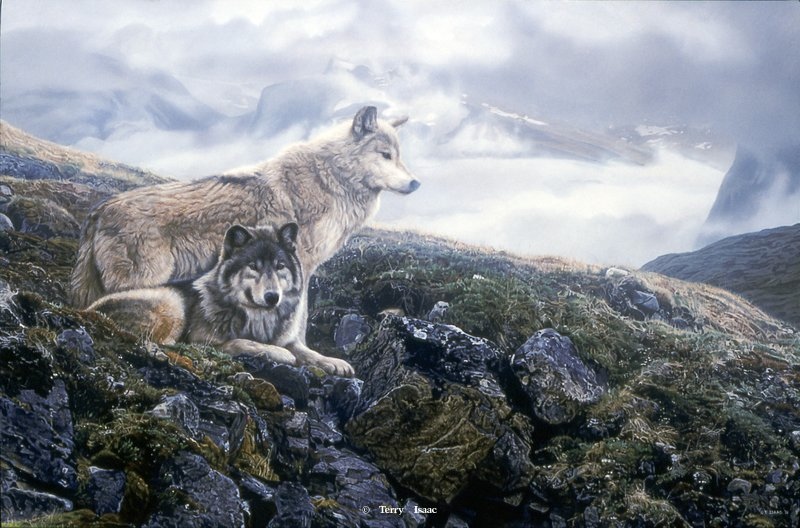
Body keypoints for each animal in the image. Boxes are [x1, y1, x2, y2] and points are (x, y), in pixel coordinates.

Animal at [70, 106, 419, 348]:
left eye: (400, 156)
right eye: (385, 155)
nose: (416, 183)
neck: (330, 180)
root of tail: (99, 211)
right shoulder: (302, 267)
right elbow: (300, 319)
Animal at [88, 223, 354, 375]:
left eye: (280, 266)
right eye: (253, 266)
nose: (272, 297)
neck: (258, 317)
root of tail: (87, 311)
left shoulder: (289, 339)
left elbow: (306, 351)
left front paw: (335, 363)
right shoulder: (207, 340)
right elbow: (247, 343)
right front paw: (280, 354)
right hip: (172, 304)